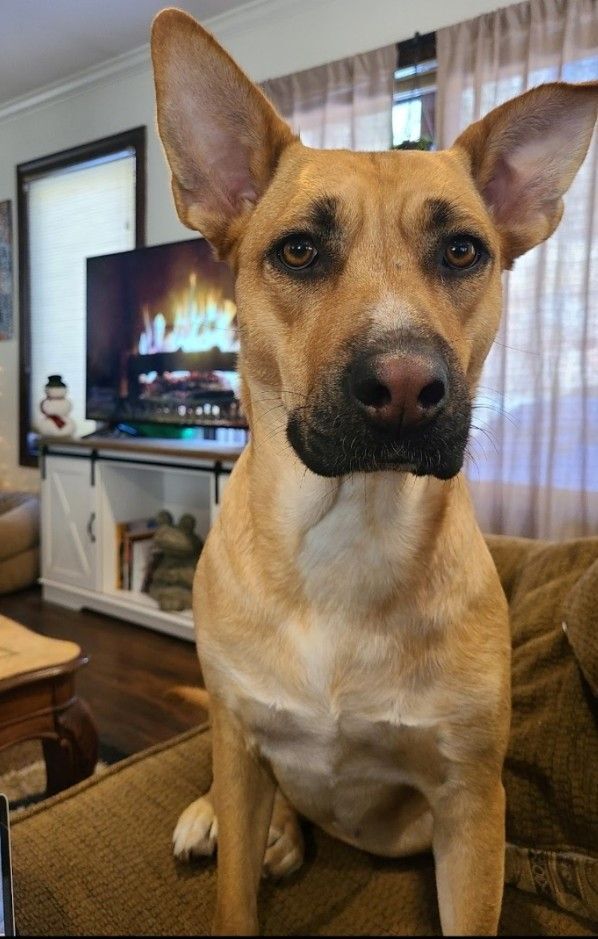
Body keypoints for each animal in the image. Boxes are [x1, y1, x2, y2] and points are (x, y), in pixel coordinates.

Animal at [151, 11, 598, 936]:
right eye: (298, 250)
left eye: (462, 250)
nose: (403, 387)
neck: (346, 531)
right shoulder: (239, 738)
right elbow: (233, 894)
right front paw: (232, 833)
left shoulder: (472, 806)